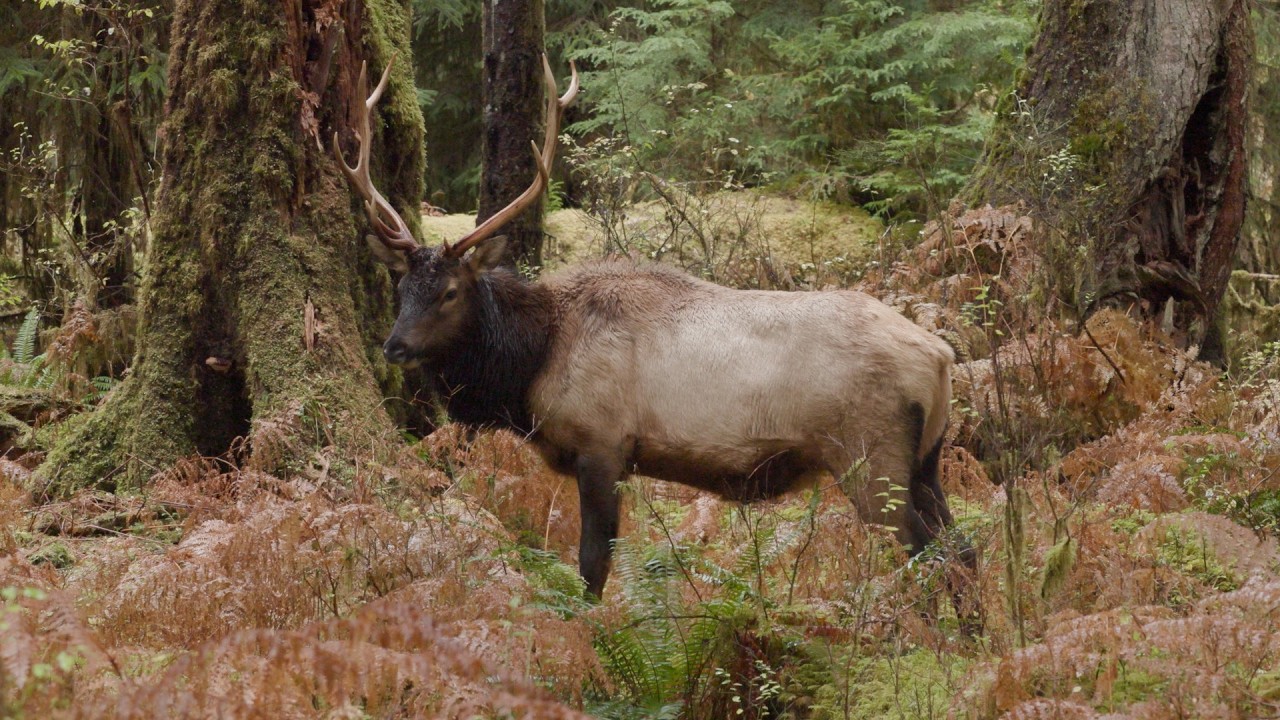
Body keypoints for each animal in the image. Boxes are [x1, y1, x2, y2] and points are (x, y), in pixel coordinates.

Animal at [333, 56, 973, 607]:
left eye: (449, 292)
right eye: (402, 289)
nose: (394, 346)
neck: (531, 366)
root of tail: (941, 357)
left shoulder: (602, 443)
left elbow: (593, 564)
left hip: (871, 455)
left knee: (930, 552)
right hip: (926, 460)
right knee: (963, 547)